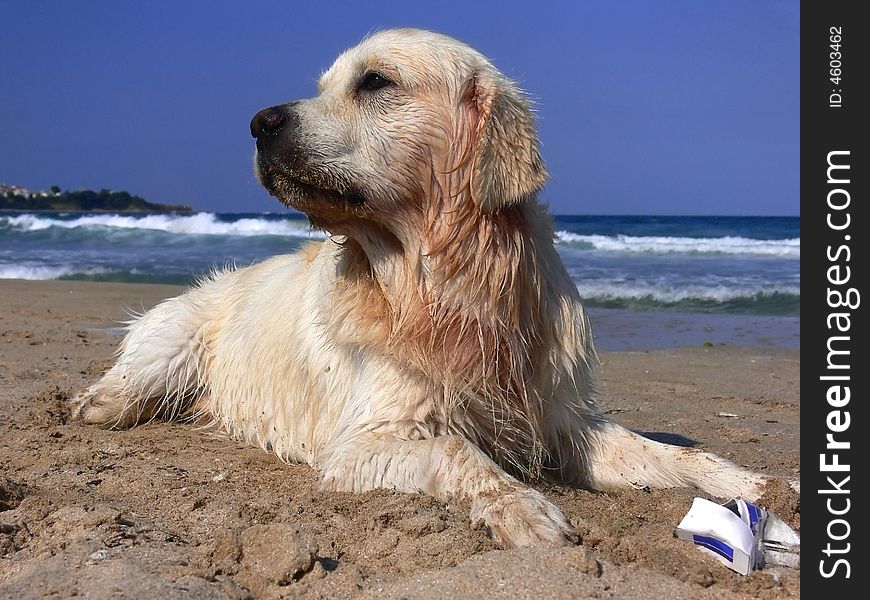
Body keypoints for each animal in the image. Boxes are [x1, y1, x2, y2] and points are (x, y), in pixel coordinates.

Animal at [73, 28, 768, 548]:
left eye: (374, 82)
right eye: (324, 87)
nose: (258, 121)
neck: (448, 285)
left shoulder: (560, 416)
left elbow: (662, 453)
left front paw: (746, 483)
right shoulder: (362, 441)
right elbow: (459, 452)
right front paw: (522, 506)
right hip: (177, 330)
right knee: (132, 373)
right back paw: (98, 402)